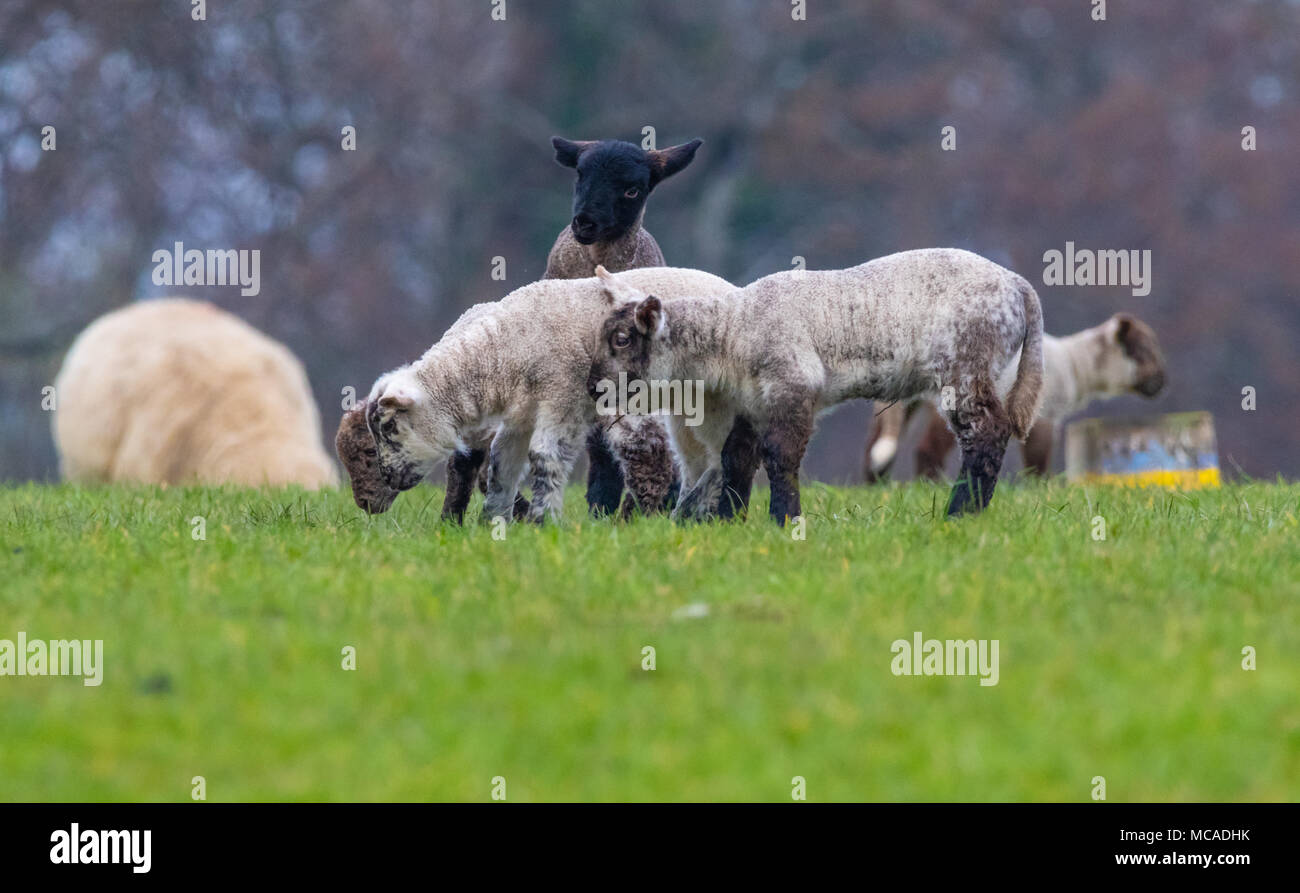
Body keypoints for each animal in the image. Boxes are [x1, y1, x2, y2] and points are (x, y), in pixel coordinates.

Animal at [366, 266, 738, 524]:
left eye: (389, 428)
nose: (387, 477)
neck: (503, 351)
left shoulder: (564, 398)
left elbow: (545, 457)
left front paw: (543, 521)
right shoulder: (521, 412)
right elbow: (501, 463)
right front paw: (492, 522)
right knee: (696, 460)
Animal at [588, 248, 1045, 522]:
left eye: (622, 339)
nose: (593, 386)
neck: (732, 330)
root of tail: (1019, 286)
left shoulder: (792, 383)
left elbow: (780, 456)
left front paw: (784, 519)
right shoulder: (753, 401)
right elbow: (737, 459)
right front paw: (727, 522)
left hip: (966, 363)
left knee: (987, 433)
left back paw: (960, 514)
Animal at [864, 313, 1165, 480]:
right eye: (1142, 350)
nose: (1162, 382)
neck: (1076, 364)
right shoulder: (1044, 415)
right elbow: (1037, 461)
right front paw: (1041, 489)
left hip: (908, 401)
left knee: (875, 450)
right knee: (926, 449)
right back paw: (928, 486)